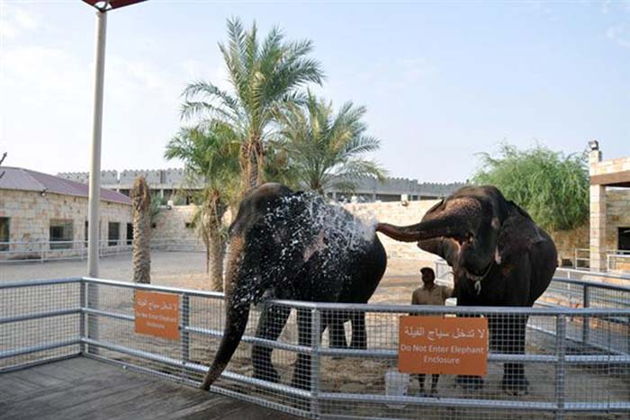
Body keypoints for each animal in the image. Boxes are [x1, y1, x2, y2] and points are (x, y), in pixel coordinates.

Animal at [202, 183, 390, 390]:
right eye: (229, 232)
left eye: (261, 236)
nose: (205, 387)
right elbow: (275, 312)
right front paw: (268, 380)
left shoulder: (328, 264)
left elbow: (309, 317)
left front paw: (298, 387)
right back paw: (338, 354)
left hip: (371, 277)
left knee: (355, 311)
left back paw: (355, 355)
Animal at [376, 185, 556, 396]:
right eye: (445, 206)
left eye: (493, 223)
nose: (375, 225)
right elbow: (466, 310)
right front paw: (468, 385)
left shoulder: (518, 264)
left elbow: (514, 317)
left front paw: (516, 390)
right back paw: (496, 348)